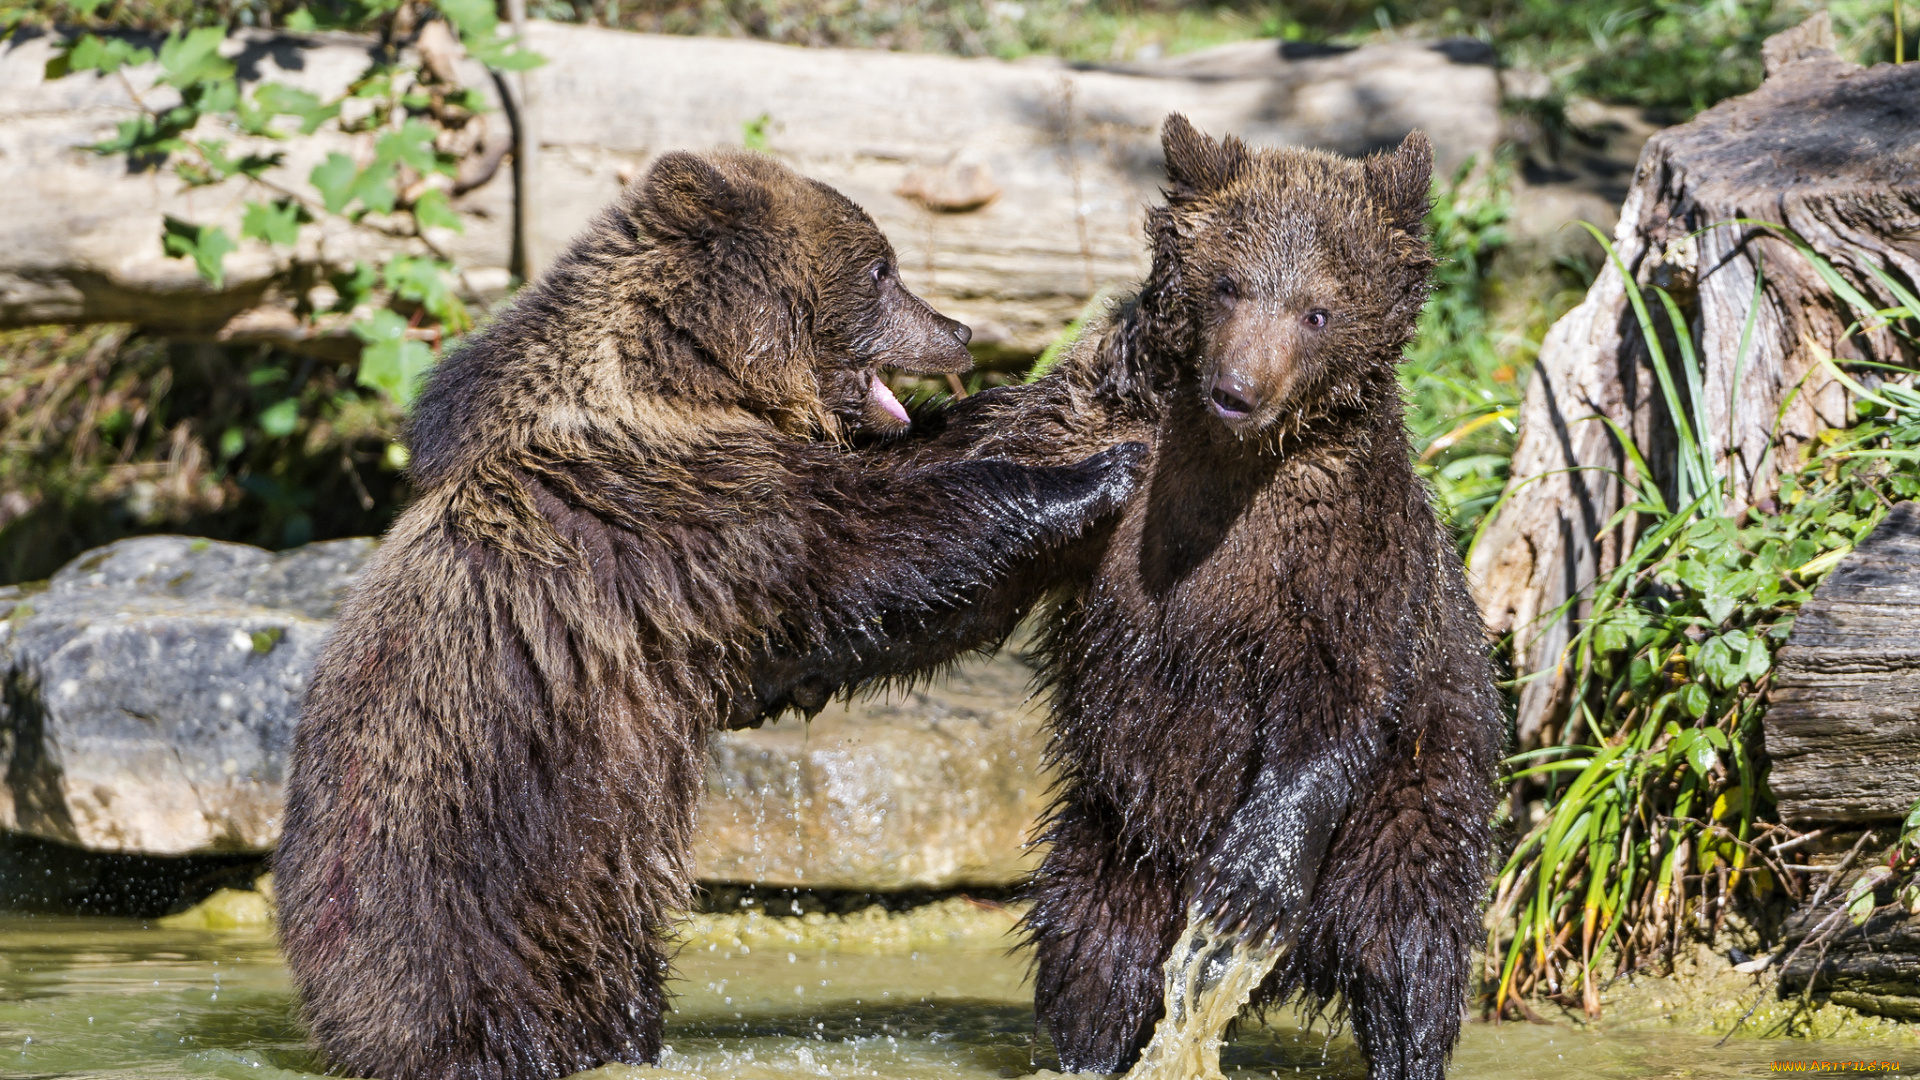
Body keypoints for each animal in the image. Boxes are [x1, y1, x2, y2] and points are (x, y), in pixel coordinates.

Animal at [268, 148, 1136, 1076]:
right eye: (883, 268)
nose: (961, 330)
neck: (687, 383)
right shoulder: (679, 512)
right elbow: (875, 553)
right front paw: (1095, 476)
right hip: (475, 909)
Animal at [775, 117, 1497, 1076]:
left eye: (1318, 310)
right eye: (1228, 283)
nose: (1238, 391)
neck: (1229, 461)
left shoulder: (1346, 536)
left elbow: (1338, 685)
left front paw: (1252, 881)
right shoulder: (1091, 443)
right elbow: (968, 571)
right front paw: (794, 661)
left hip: (1414, 785)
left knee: (1409, 942)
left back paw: (1397, 1032)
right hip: (1121, 834)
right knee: (1093, 948)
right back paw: (1086, 1045)